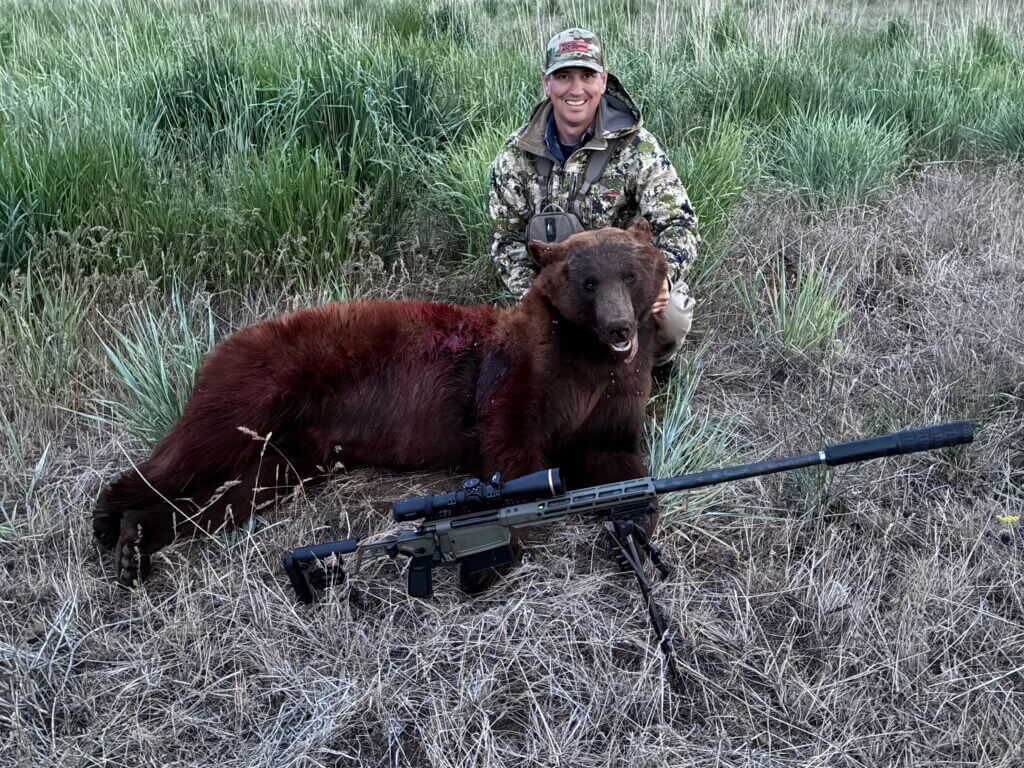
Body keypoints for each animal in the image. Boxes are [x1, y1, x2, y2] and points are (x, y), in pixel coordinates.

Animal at [93, 218, 668, 589]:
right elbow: (510, 443)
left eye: (630, 275)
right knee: (196, 451)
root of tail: (227, 343)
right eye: (588, 282)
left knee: (235, 492)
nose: (619, 328)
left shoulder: (616, 394)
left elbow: (616, 455)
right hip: (260, 385)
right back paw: (110, 519)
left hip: (292, 453)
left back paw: (136, 543)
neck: (587, 361)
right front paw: (497, 552)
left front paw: (634, 522)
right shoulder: (520, 370)